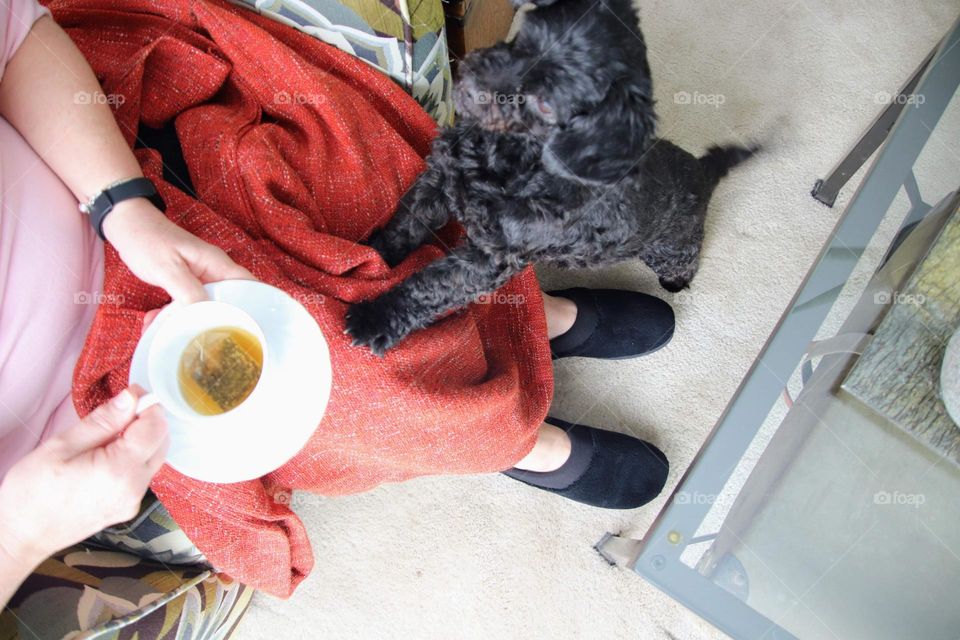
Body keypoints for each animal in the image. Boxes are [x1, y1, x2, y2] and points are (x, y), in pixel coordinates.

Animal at [346, 0, 756, 356]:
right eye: (526, 38)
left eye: (547, 102)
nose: (478, 82)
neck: (507, 155)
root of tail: (701, 169)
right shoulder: (437, 184)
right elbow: (402, 229)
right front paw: (370, 257)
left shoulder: (489, 258)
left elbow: (431, 285)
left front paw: (376, 318)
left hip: (670, 246)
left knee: (686, 257)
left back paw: (677, 280)